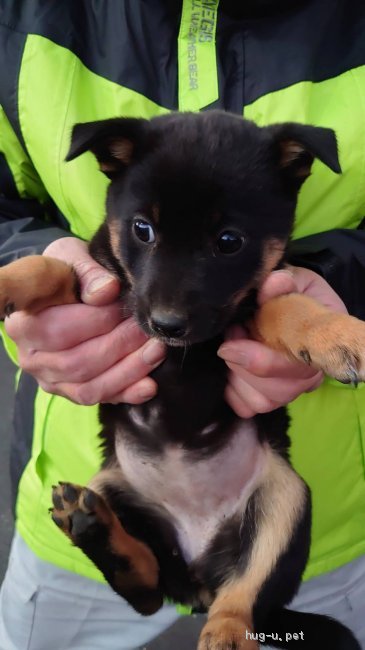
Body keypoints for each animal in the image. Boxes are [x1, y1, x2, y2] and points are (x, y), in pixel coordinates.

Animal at [0, 109, 362, 644]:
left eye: (229, 242)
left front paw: (339, 333)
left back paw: (226, 633)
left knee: (240, 597)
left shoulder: (245, 311)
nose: (166, 326)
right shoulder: (103, 287)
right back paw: (89, 523)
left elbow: (290, 305)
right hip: (111, 481)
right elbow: (49, 268)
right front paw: (8, 280)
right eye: (142, 229)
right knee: (148, 589)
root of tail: (196, 582)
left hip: (286, 499)